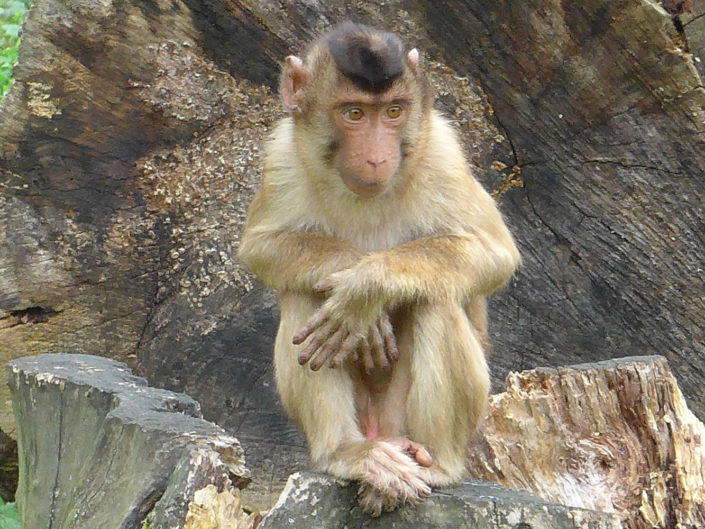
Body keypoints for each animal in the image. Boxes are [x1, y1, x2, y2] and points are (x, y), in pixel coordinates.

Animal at [238, 22, 520, 516]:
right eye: (354, 113)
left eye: (392, 112)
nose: (375, 156)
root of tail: (380, 431)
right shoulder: (282, 155)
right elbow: (261, 247)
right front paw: (353, 277)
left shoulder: (443, 153)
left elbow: (493, 253)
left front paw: (367, 286)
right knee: (304, 291)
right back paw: (349, 453)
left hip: (403, 420)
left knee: (435, 297)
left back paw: (436, 464)